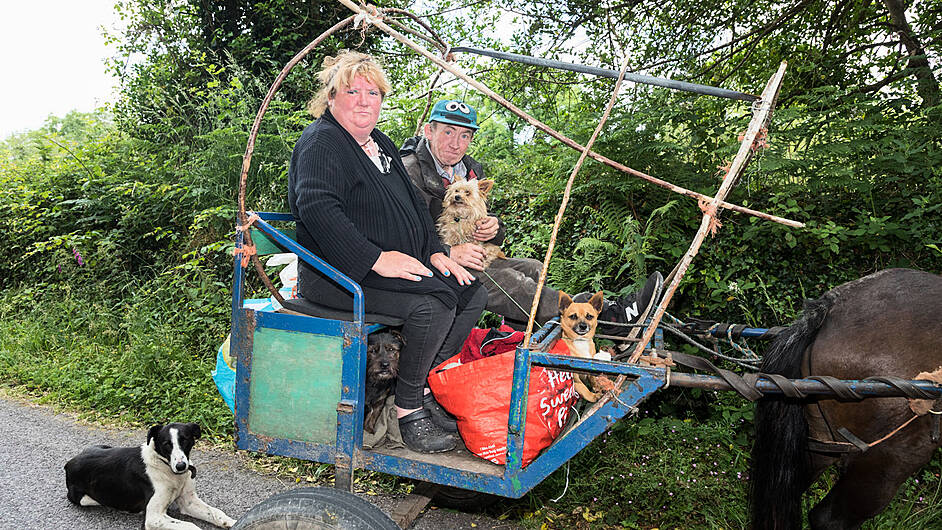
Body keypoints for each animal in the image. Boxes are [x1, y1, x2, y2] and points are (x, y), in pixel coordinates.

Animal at [64, 420, 236, 528]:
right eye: (166, 444)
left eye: (185, 440)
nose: (181, 466)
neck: (165, 466)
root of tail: (70, 462)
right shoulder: (154, 518)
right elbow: (190, 525)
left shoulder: (188, 501)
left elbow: (216, 512)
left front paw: (233, 522)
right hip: (84, 499)